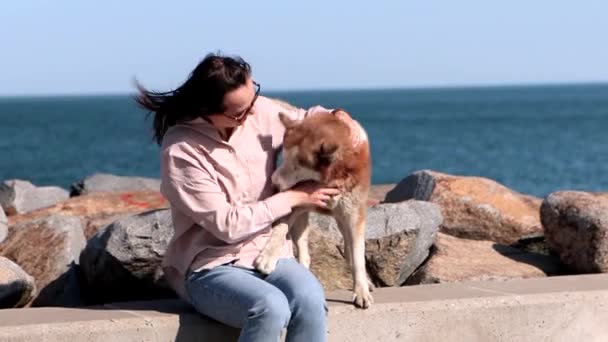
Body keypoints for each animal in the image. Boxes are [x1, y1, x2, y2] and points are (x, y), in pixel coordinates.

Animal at [253, 108, 376, 308]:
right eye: (283, 157)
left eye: (297, 165)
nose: (275, 184)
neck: (332, 176)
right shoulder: (295, 201)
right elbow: (280, 229)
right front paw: (268, 256)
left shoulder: (353, 213)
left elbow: (357, 256)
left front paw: (361, 291)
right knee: (303, 249)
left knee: (349, 249)